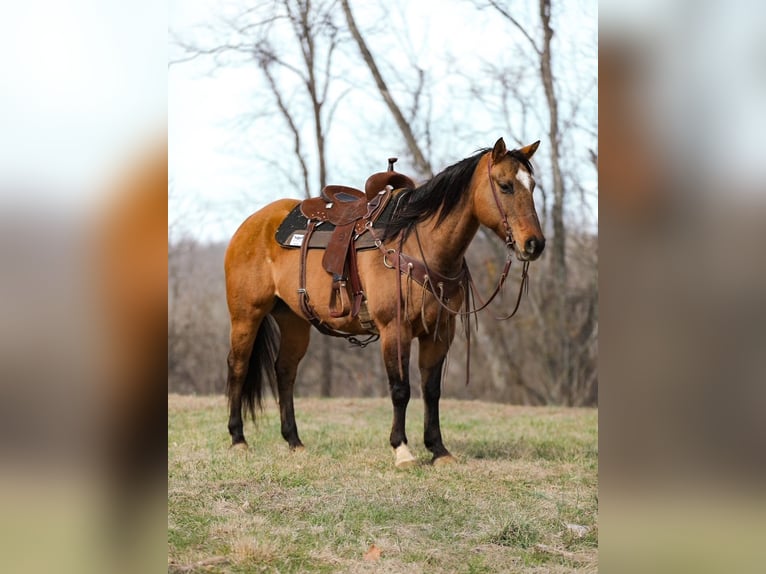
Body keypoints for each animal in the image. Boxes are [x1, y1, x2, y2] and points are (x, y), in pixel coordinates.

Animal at [224, 137, 545, 467]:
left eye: (532, 185)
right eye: (505, 185)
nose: (534, 244)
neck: (418, 242)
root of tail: (252, 224)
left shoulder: (440, 333)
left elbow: (431, 390)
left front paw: (438, 450)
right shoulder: (395, 329)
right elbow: (401, 389)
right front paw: (402, 449)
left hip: (294, 321)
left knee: (285, 371)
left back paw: (294, 441)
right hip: (246, 316)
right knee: (238, 366)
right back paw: (238, 439)